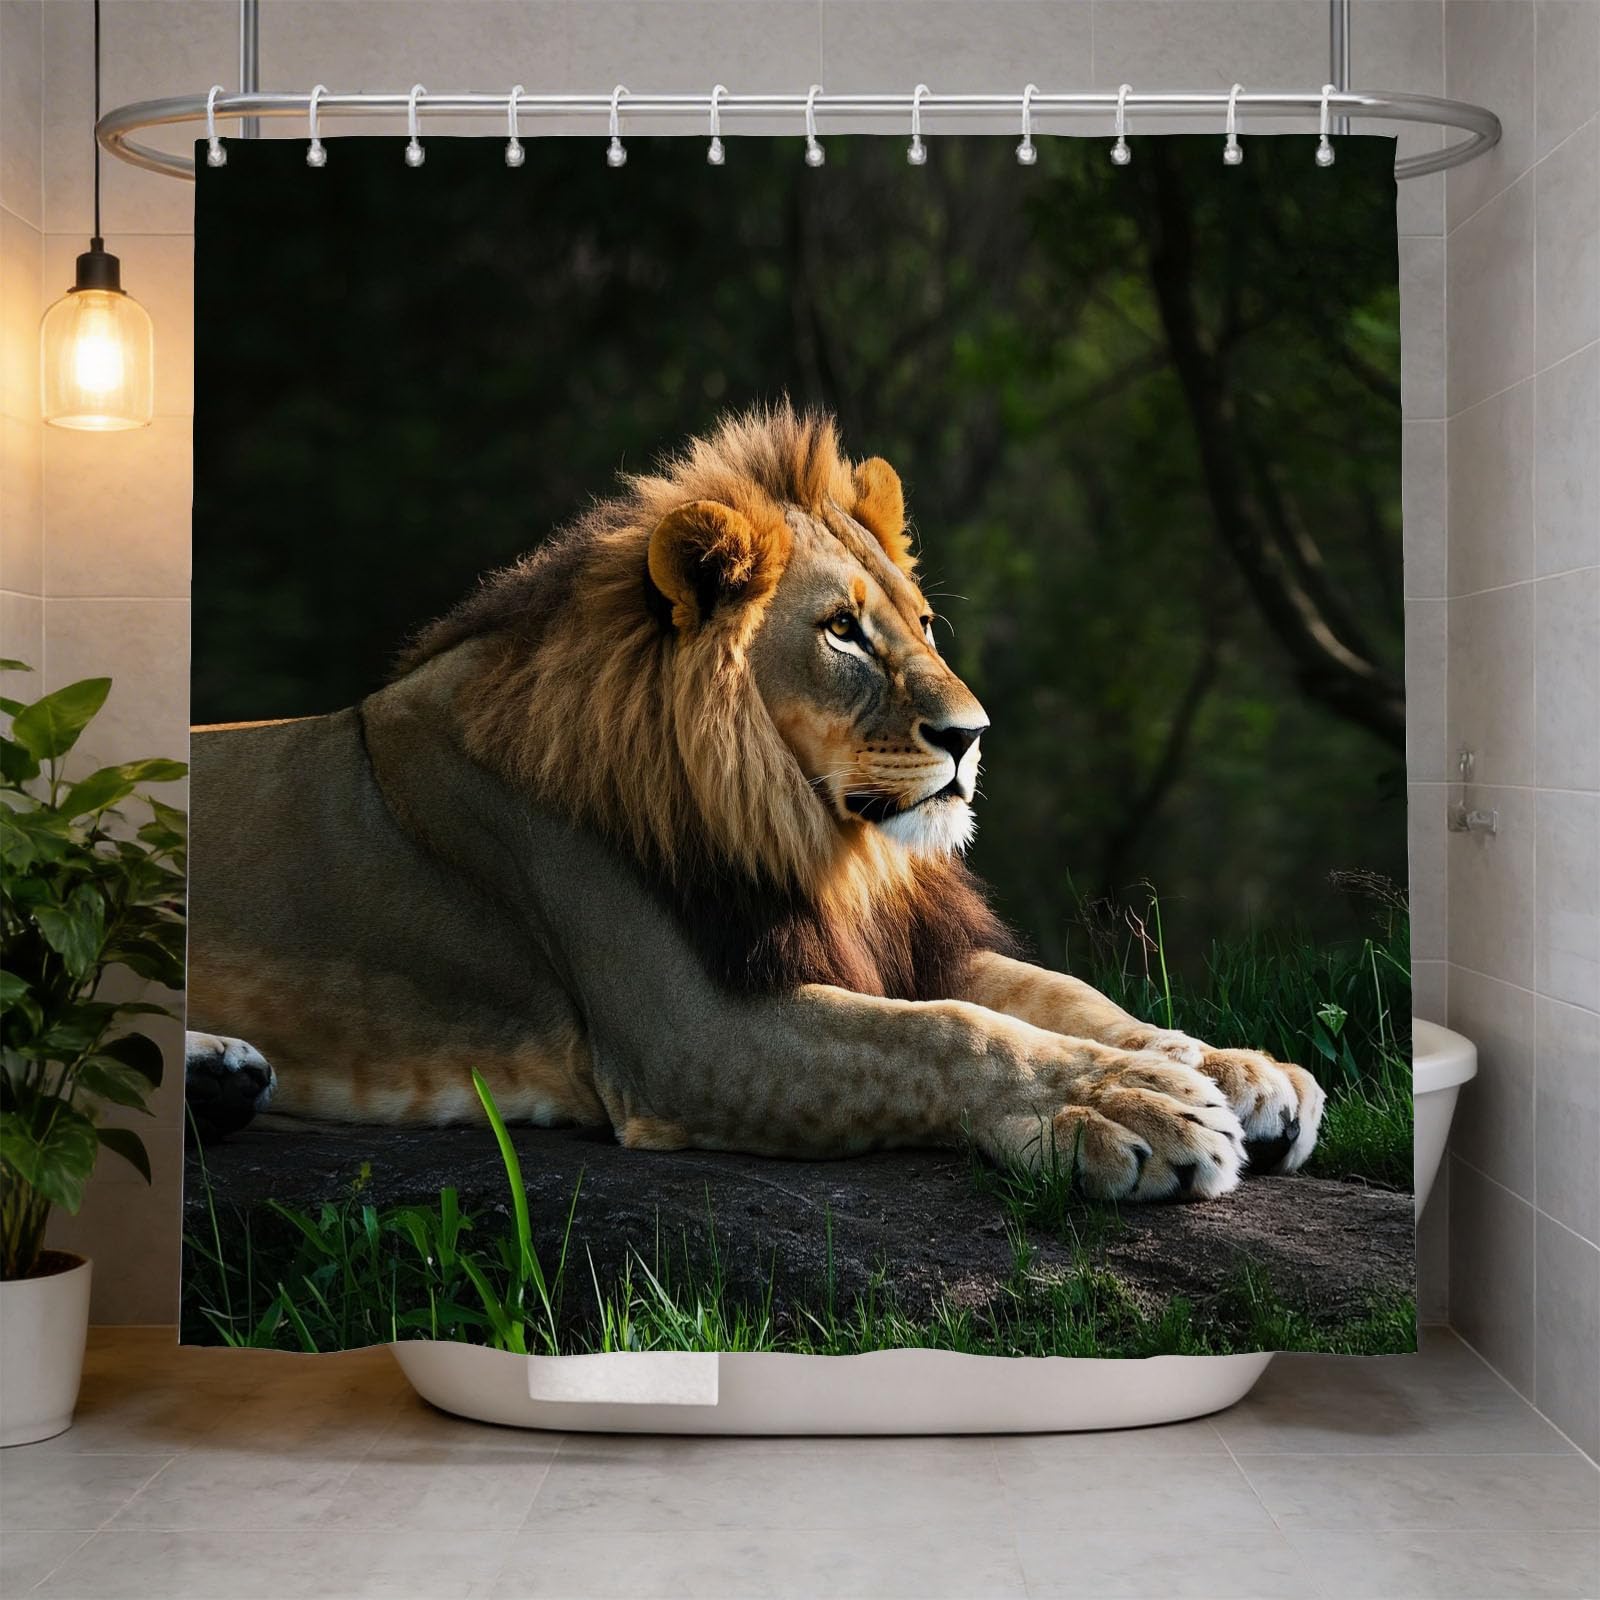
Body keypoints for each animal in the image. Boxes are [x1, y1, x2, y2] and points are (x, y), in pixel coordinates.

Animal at [185, 404, 1324, 1200]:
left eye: (921, 622)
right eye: (842, 632)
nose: (971, 735)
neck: (809, 833)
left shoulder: (883, 945)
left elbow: (1063, 995)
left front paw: (1234, 1068)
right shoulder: (688, 1035)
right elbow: (949, 1033)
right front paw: (1137, 1107)